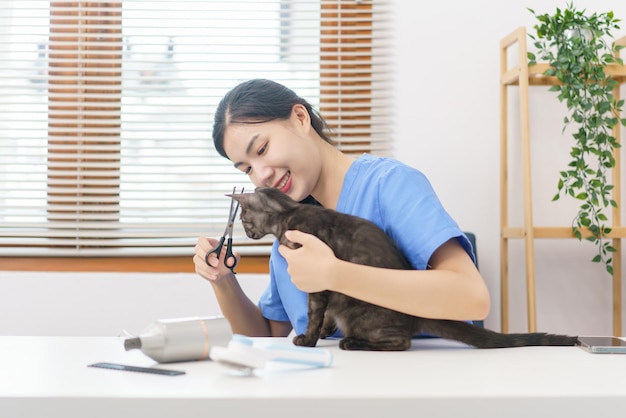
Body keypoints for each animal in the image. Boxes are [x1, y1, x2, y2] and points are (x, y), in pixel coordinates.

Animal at [228, 188, 576, 352]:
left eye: (242, 218)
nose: (244, 232)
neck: (289, 213)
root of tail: (414, 317)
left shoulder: (318, 280)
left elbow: (315, 311)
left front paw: (308, 339)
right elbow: (325, 315)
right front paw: (323, 332)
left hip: (362, 312)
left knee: (401, 342)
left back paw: (353, 343)